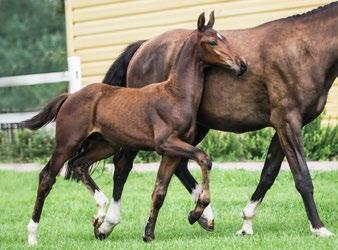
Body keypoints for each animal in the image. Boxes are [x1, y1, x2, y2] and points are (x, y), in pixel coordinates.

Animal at [23, 11, 246, 244]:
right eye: (212, 41)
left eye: (225, 38)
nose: (241, 64)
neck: (176, 94)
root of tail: (69, 96)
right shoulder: (166, 144)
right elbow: (204, 159)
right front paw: (195, 213)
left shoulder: (171, 152)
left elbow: (159, 192)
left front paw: (149, 234)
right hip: (67, 143)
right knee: (47, 177)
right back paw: (33, 235)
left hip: (105, 145)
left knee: (79, 164)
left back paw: (100, 215)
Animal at [95, 3, 338, 238]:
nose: (242, 65)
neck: (303, 47)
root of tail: (143, 46)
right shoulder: (288, 121)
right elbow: (302, 176)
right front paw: (319, 228)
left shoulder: (283, 126)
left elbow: (268, 174)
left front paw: (246, 224)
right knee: (123, 165)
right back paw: (107, 223)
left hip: (192, 128)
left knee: (178, 164)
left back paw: (204, 216)